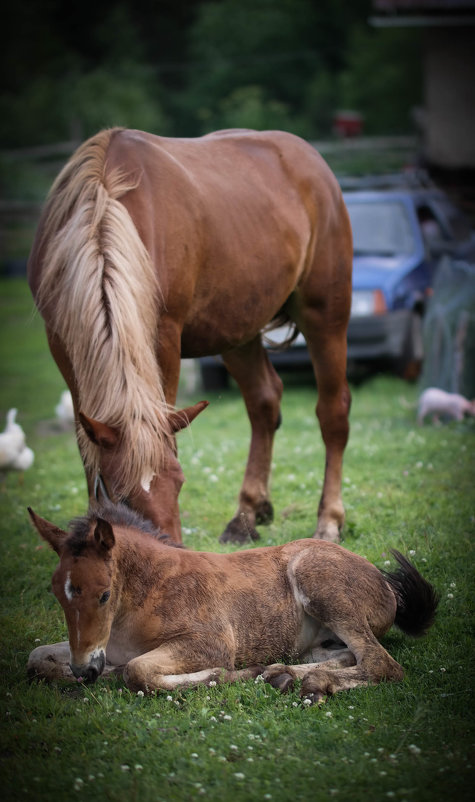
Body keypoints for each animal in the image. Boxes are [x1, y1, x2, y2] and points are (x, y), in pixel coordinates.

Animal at [27, 128, 354, 544]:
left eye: (180, 483)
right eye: (122, 497)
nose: (170, 548)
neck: (103, 207)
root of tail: (311, 158)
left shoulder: (165, 337)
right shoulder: (63, 347)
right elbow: (88, 454)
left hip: (325, 314)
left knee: (333, 411)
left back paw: (329, 520)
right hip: (237, 330)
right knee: (264, 402)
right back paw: (247, 514)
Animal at [28, 504, 438, 704]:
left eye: (104, 594)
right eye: (57, 593)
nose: (85, 671)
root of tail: (387, 586)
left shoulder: (210, 643)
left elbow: (138, 671)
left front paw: (223, 676)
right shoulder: (97, 649)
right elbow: (36, 659)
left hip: (319, 583)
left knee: (380, 663)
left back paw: (309, 683)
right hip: (320, 640)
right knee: (344, 656)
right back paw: (283, 674)